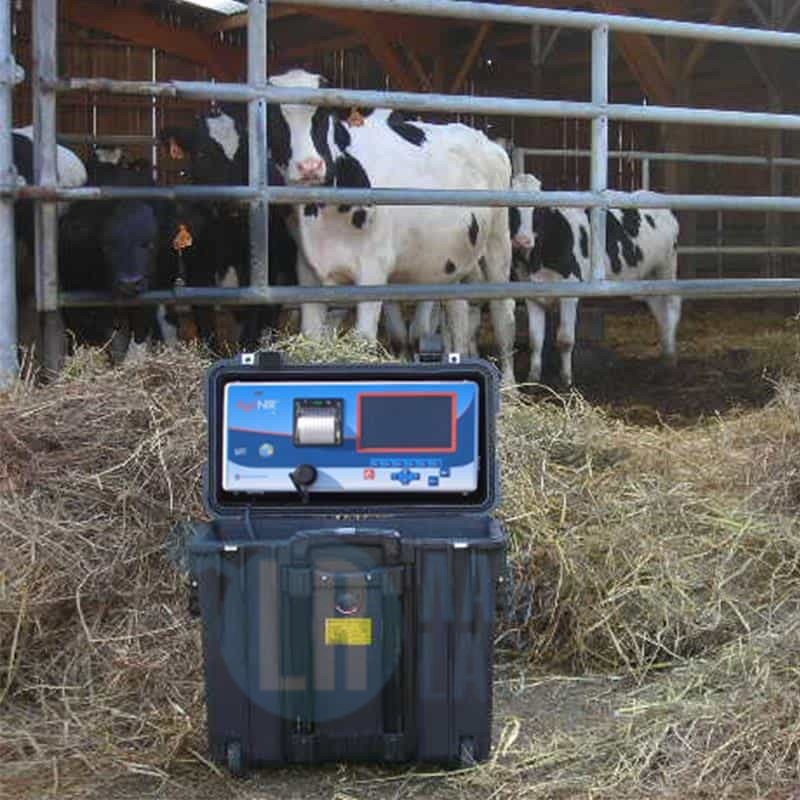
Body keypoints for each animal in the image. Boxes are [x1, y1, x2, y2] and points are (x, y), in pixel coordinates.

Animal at [266, 69, 516, 385]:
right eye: (274, 118)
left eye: (323, 115)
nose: (310, 166)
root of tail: (485, 140)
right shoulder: (307, 271)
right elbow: (311, 335)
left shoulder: (373, 269)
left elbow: (363, 340)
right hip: (454, 258)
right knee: (458, 311)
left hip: (498, 240)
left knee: (503, 312)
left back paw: (510, 385)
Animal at [509, 173, 681, 387]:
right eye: (512, 208)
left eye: (539, 209)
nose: (522, 240)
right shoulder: (531, 294)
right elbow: (535, 340)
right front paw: (532, 379)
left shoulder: (570, 291)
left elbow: (565, 340)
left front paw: (566, 380)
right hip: (648, 277)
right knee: (659, 309)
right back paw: (665, 354)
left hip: (666, 266)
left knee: (672, 305)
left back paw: (671, 358)